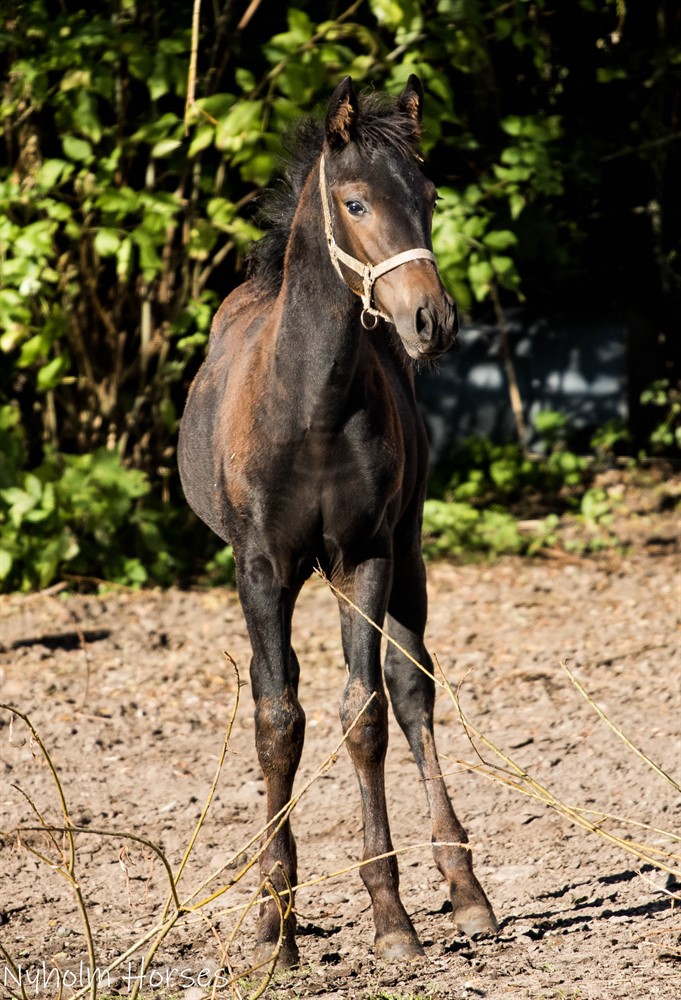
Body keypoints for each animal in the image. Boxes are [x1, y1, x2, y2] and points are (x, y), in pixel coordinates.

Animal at [178, 75, 498, 967]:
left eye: (428, 197)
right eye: (353, 201)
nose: (432, 320)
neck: (309, 409)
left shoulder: (365, 556)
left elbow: (367, 712)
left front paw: (391, 916)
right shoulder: (260, 569)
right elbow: (277, 721)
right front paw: (273, 925)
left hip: (410, 551)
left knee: (413, 686)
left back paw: (467, 892)